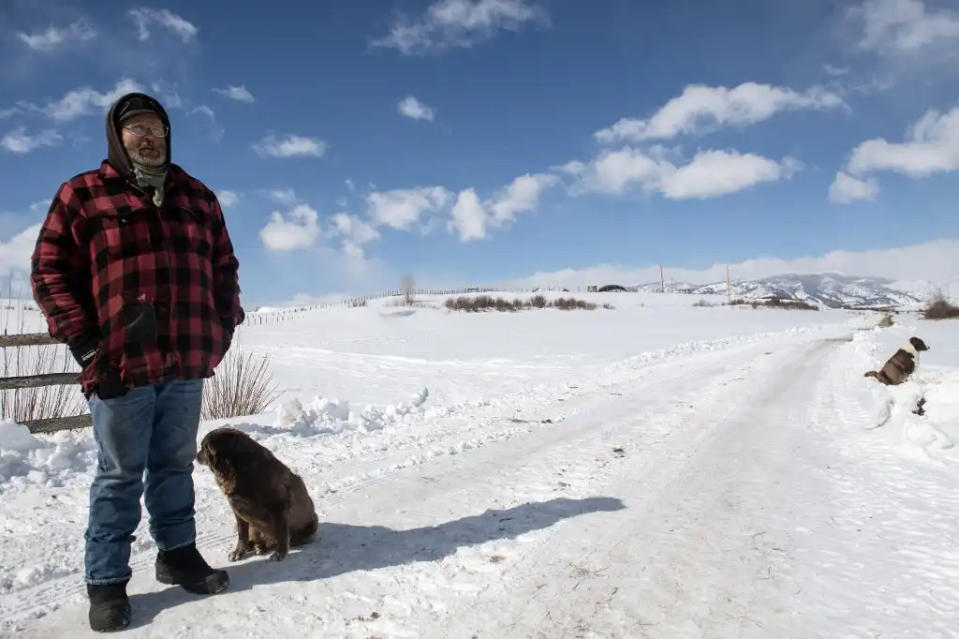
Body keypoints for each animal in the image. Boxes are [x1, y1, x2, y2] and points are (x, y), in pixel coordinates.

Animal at [198, 428, 318, 564]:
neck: (236, 468)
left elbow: (281, 533)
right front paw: (238, 552)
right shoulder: (238, 510)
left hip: (313, 521)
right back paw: (257, 546)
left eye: (203, 447)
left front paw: (280, 553)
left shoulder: (278, 506)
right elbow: (242, 534)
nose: (196, 456)